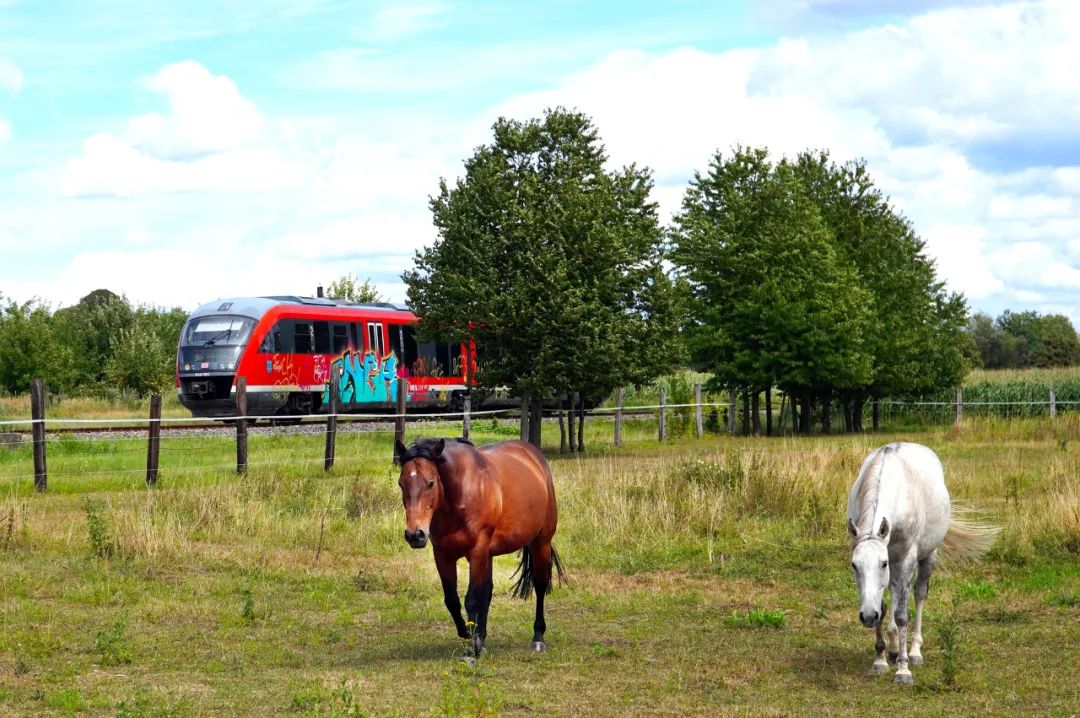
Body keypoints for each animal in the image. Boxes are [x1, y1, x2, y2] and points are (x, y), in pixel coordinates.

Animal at [397, 436, 565, 656]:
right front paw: (469, 634)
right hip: (490, 555)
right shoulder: (443, 555)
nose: (414, 534)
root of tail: (535, 458)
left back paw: (538, 638)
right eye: (401, 483)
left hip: (541, 542)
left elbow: (472, 598)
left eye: (431, 482)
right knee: (488, 591)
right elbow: (453, 599)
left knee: (540, 585)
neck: (459, 497)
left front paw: (473, 643)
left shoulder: (477, 551)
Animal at [846, 442, 997, 682]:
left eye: (882, 563)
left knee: (918, 594)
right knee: (895, 593)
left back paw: (914, 651)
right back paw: (894, 646)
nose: (867, 616)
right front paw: (880, 659)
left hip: (927, 557)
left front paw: (903, 669)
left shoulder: (905, 558)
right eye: (854, 566)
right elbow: (884, 607)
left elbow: (902, 614)